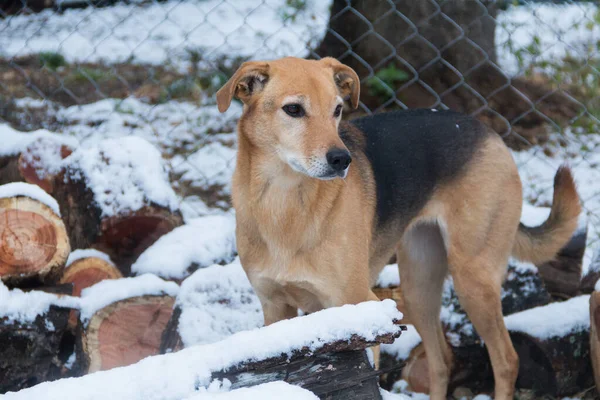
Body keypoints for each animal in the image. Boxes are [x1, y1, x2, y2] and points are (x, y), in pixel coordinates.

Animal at [217, 57, 580, 400]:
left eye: (337, 110)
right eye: (293, 109)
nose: (342, 160)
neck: (283, 202)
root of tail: (489, 132)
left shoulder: (358, 311)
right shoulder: (275, 312)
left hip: (472, 278)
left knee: (506, 360)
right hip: (419, 284)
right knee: (440, 362)